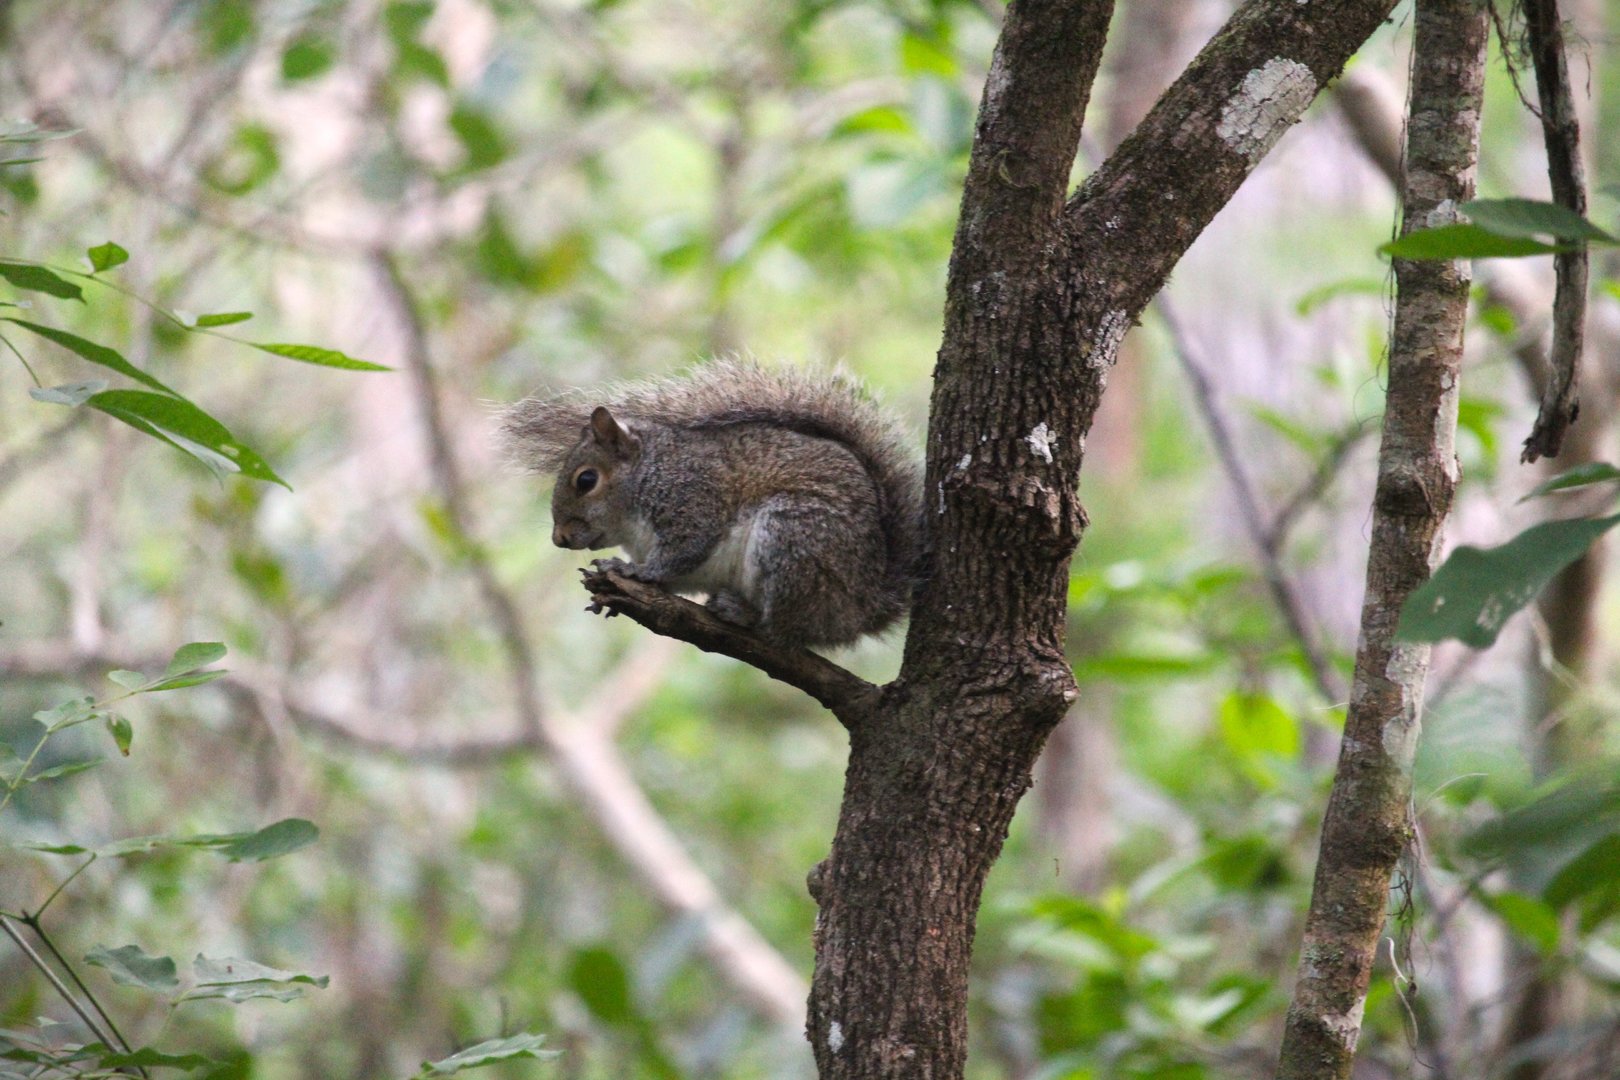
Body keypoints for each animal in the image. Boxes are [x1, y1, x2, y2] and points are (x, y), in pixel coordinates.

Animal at [502, 360, 923, 650]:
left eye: (586, 480)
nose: (559, 538)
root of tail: (864, 607)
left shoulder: (693, 501)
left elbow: (682, 552)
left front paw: (633, 571)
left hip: (794, 538)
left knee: (785, 630)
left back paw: (744, 614)